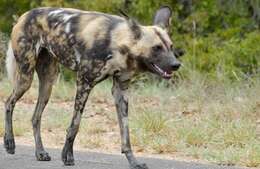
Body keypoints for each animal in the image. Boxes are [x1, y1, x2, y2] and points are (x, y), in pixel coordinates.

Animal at [5, 5, 182, 169]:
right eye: (156, 48)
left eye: (171, 46)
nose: (176, 65)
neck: (117, 43)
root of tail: (26, 15)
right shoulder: (84, 82)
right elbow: (75, 125)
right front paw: (67, 155)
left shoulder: (121, 91)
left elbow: (126, 135)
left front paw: (134, 162)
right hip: (26, 79)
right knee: (9, 102)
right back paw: (9, 143)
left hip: (48, 82)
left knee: (35, 117)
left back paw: (40, 152)